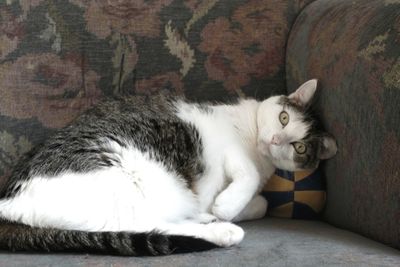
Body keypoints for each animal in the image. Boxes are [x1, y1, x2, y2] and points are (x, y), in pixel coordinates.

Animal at [0, 80, 338, 258]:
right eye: (283, 118)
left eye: (300, 147)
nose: (276, 139)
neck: (258, 150)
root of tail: (10, 203)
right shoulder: (230, 149)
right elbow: (248, 178)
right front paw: (226, 208)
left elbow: (263, 202)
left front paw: (227, 206)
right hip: (130, 184)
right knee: (145, 226)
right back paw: (221, 230)